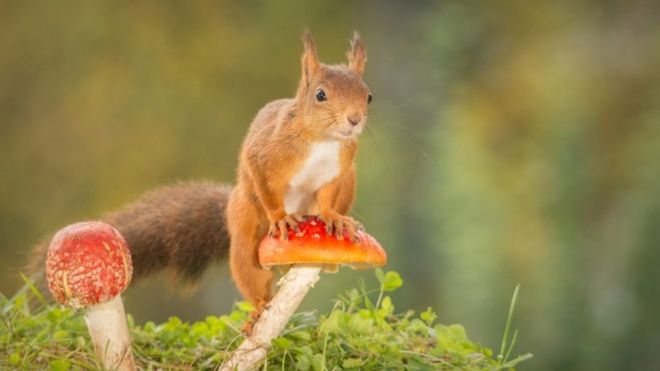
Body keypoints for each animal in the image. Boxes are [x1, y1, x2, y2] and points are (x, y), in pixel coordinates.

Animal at [27, 31, 372, 328]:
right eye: (320, 95)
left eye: (368, 96)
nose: (354, 120)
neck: (324, 141)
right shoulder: (264, 155)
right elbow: (264, 183)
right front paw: (281, 218)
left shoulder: (339, 171)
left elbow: (326, 198)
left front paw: (333, 217)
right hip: (246, 229)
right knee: (252, 272)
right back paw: (259, 307)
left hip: (351, 181)